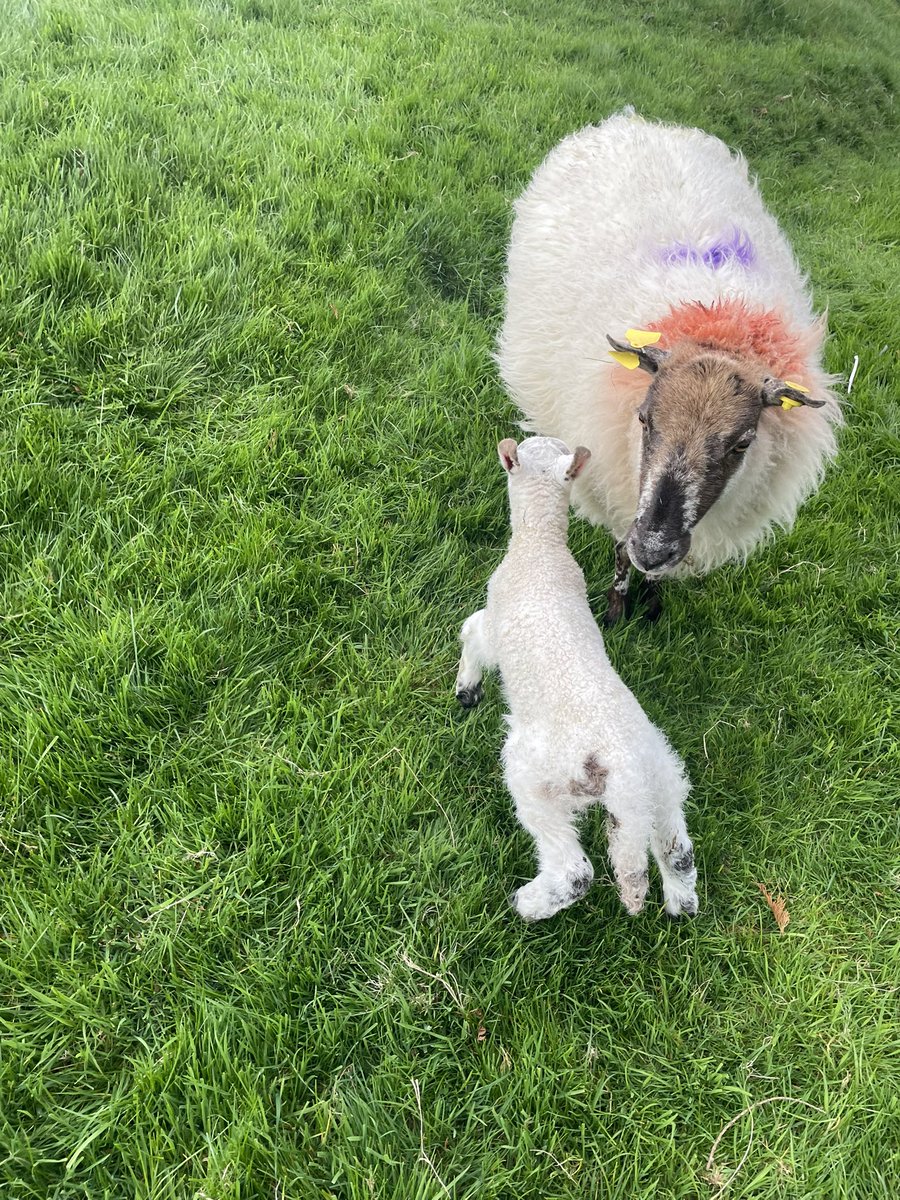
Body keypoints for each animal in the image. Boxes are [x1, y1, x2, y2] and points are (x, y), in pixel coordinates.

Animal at [455, 435, 698, 922]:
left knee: (575, 870)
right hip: (662, 775)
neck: (541, 546)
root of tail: (625, 773)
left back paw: (529, 903)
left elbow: (471, 634)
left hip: (541, 777)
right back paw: (680, 902)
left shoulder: (494, 622)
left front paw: (466, 689)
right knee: (676, 848)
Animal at [496, 111, 842, 623]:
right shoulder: (619, 487)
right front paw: (618, 610)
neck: (715, 329)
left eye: (743, 444)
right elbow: (621, 551)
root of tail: (632, 120)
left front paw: (653, 601)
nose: (655, 548)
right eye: (644, 419)